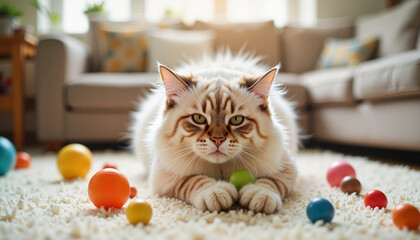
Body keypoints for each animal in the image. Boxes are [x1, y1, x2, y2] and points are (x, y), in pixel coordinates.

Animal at [131, 52, 298, 214]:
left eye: (236, 120)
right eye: (198, 118)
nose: (217, 140)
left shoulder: (287, 169)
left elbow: (270, 182)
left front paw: (261, 196)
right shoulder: (164, 178)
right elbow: (193, 180)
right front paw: (215, 192)